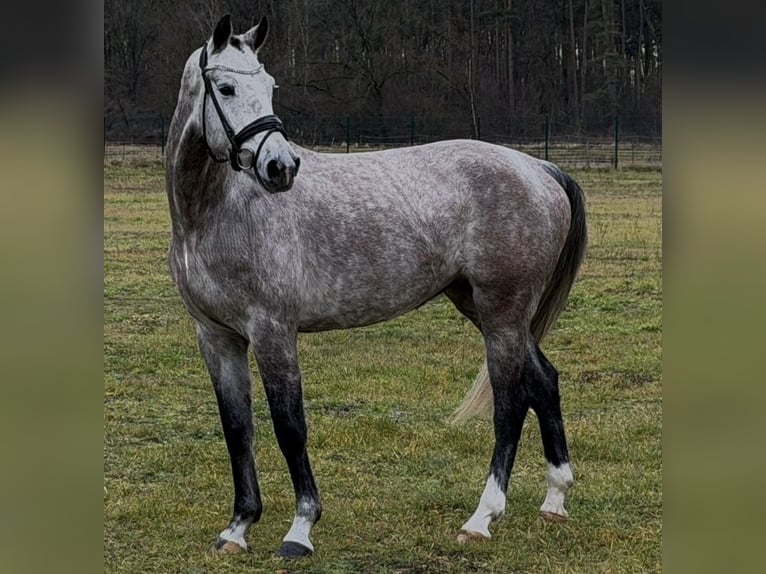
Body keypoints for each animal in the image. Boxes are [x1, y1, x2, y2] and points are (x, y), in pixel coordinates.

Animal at [165, 14, 587, 559]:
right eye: (227, 87)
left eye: (270, 86)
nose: (281, 167)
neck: (217, 213)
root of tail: (539, 167)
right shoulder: (216, 337)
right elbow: (237, 429)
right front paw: (238, 528)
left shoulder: (273, 331)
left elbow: (289, 426)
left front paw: (300, 529)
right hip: (487, 309)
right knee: (544, 382)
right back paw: (555, 499)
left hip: (503, 313)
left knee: (511, 403)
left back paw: (481, 518)